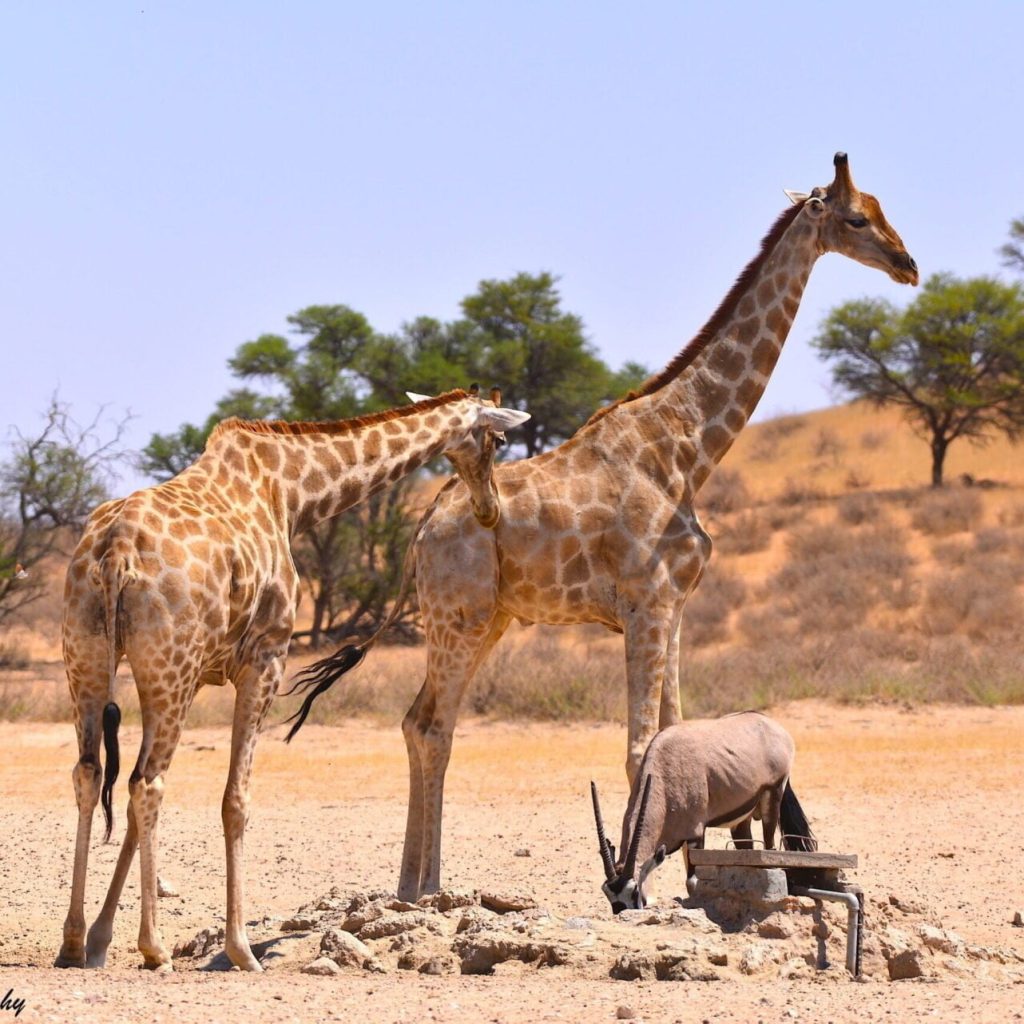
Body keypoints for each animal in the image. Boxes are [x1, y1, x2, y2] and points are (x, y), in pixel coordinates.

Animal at [54, 387, 536, 970]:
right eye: (499, 439)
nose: (490, 509)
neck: (292, 494)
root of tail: (116, 553)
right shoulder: (264, 657)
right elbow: (235, 799)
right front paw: (241, 948)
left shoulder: (204, 670)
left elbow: (134, 807)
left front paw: (101, 939)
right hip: (165, 664)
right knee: (147, 783)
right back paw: (155, 947)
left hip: (88, 656)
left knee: (91, 774)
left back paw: (72, 940)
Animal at [284, 151, 917, 897]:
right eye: (857, 218)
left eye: (880, 210)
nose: (908, 264)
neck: (691, 447)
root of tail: (422, 527)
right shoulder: (647, 603)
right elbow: (641, 749)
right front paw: (647, 883)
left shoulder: (675, 606)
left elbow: (681, 737)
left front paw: (693, 883)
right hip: (457, 616)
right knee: (433, 726)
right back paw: (427, 889)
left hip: (489, 619)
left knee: (421, 722)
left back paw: (418, 887)